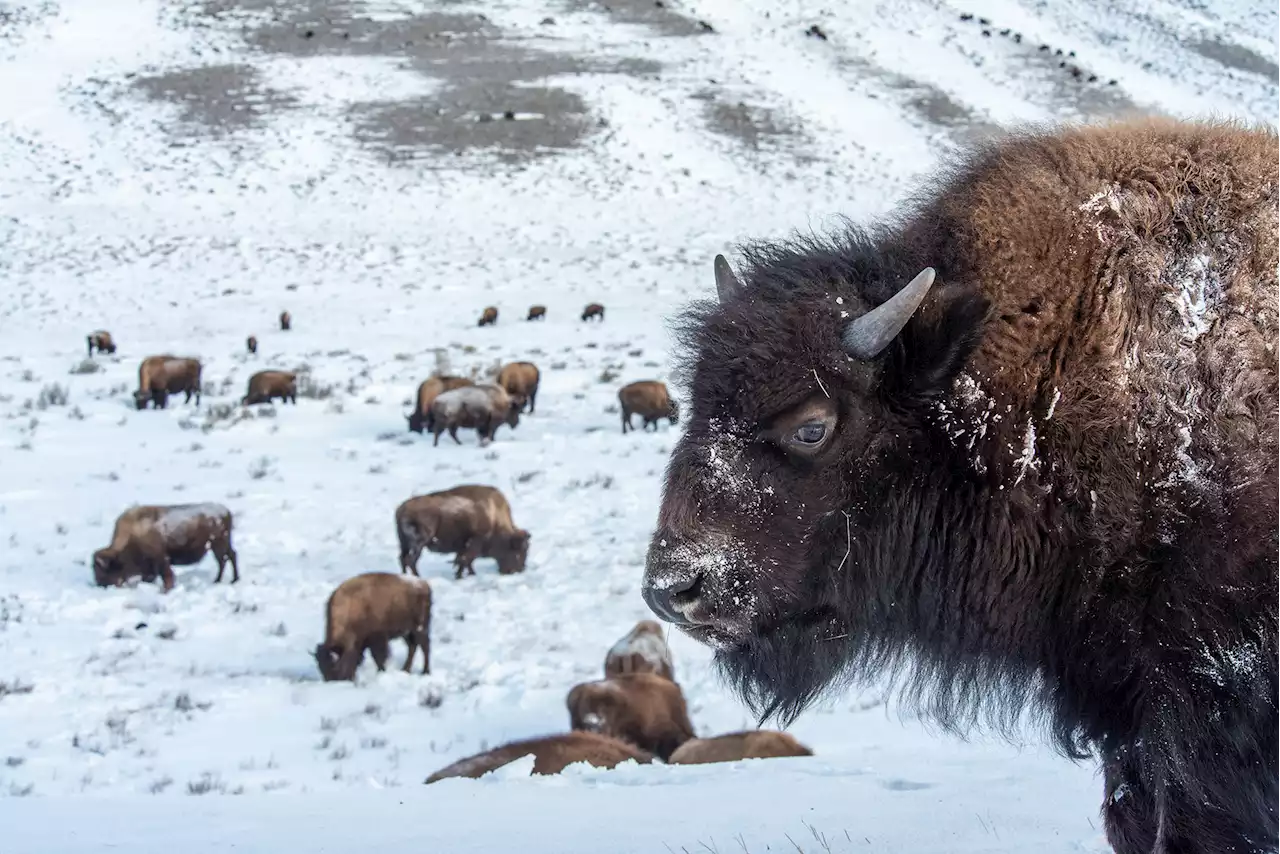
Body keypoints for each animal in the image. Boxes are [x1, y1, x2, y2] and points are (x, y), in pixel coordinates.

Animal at [93, 501, 240, 594]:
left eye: (102, 570)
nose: (100, 584)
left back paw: (229, 580)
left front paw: (165, 590)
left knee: (227, 558)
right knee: (226, 558)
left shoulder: (160, 559)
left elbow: (166, 576)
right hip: (218, 546)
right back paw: (222, 580)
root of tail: (225, 511)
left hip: (219, 544)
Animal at [391, 483, 527, 578]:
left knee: (402, 559)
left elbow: (463, 560)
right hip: (420, 543)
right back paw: (418, 577)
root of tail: (402, 509)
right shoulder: (474, 543)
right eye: (518, 551)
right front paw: (466, 575)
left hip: (404, 544)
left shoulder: (463, 546)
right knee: (410, 560)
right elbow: (466, 560)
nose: (518, 570)